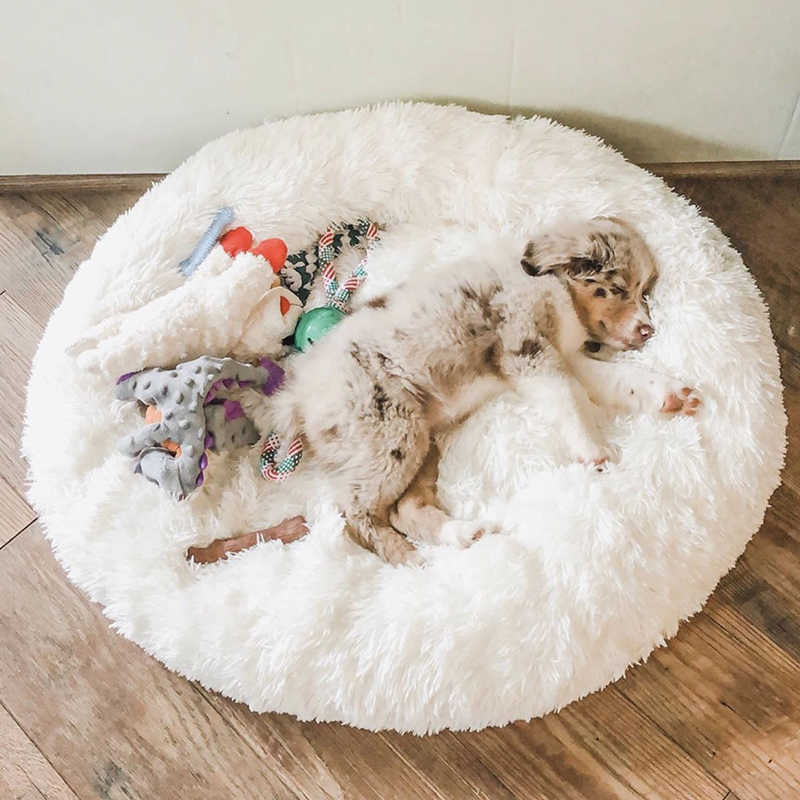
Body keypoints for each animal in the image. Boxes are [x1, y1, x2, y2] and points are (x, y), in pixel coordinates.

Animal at [268, 216, 700, 560]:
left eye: (645, 291)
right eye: (620, 288)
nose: (648, 330)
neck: (555, 287)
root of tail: (298, 398)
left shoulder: (566, 356)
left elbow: (619, 380)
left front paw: (670, 394)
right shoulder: (526, 350)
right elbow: (567, 399)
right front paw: (592, 449)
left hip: (419, 442)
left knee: (403, 509)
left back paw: (461, 535)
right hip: (389, 434)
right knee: (356, 516)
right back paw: (407, 559)